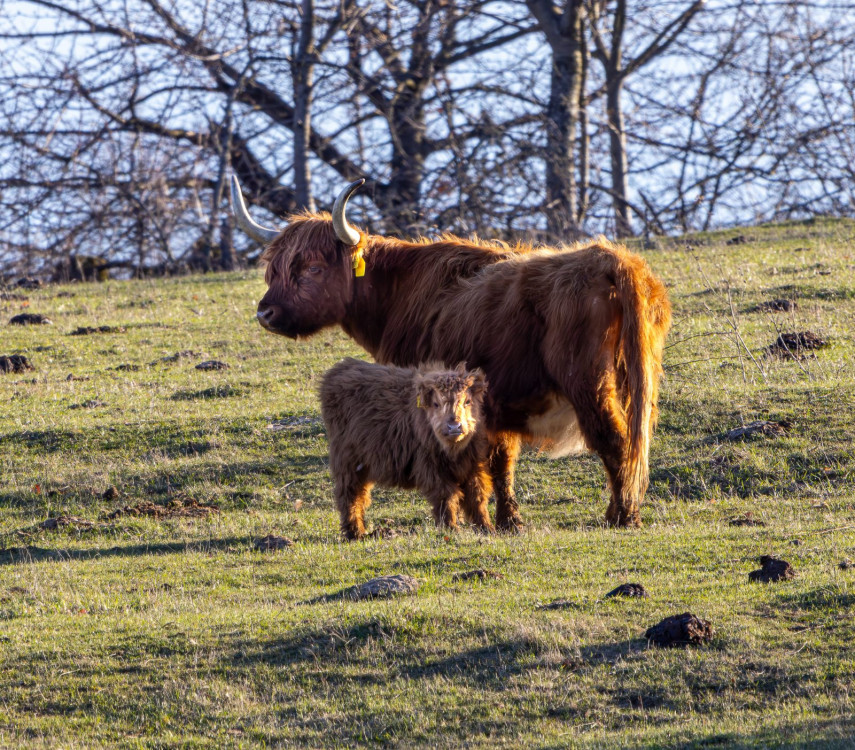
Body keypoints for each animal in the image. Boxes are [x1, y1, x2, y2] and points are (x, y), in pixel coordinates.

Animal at [320, 358, 494, 540]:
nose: (454, 426)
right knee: (351, 495)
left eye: (467, 402)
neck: (453, 451)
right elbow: (447, 497)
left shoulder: (475, 465)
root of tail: (343, 366)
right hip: (348, 461)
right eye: (436, 404)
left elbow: (477, 497)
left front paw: (487, 527)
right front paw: (451, 528)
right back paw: (355, 532)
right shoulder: (433, 468)